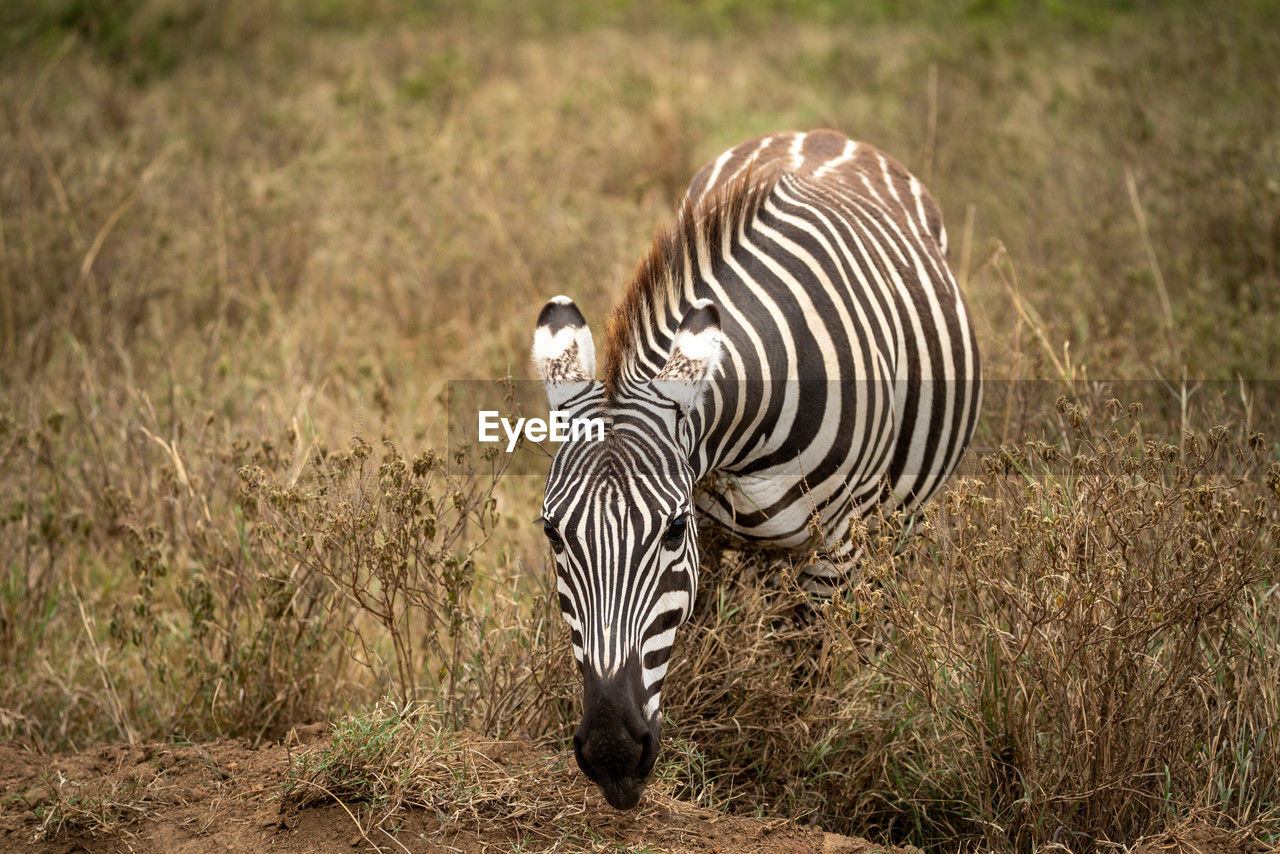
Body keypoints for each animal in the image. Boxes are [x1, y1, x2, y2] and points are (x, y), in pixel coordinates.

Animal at [529, 126, 977, 809]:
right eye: (554, 534)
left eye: (671, 530)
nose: (611, 754)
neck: (743, 435)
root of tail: (826, 133)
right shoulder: (711, 542)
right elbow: (698, 650)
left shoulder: (835, 550)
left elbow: (807, 677)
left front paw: (800, 770)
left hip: (896, 526)